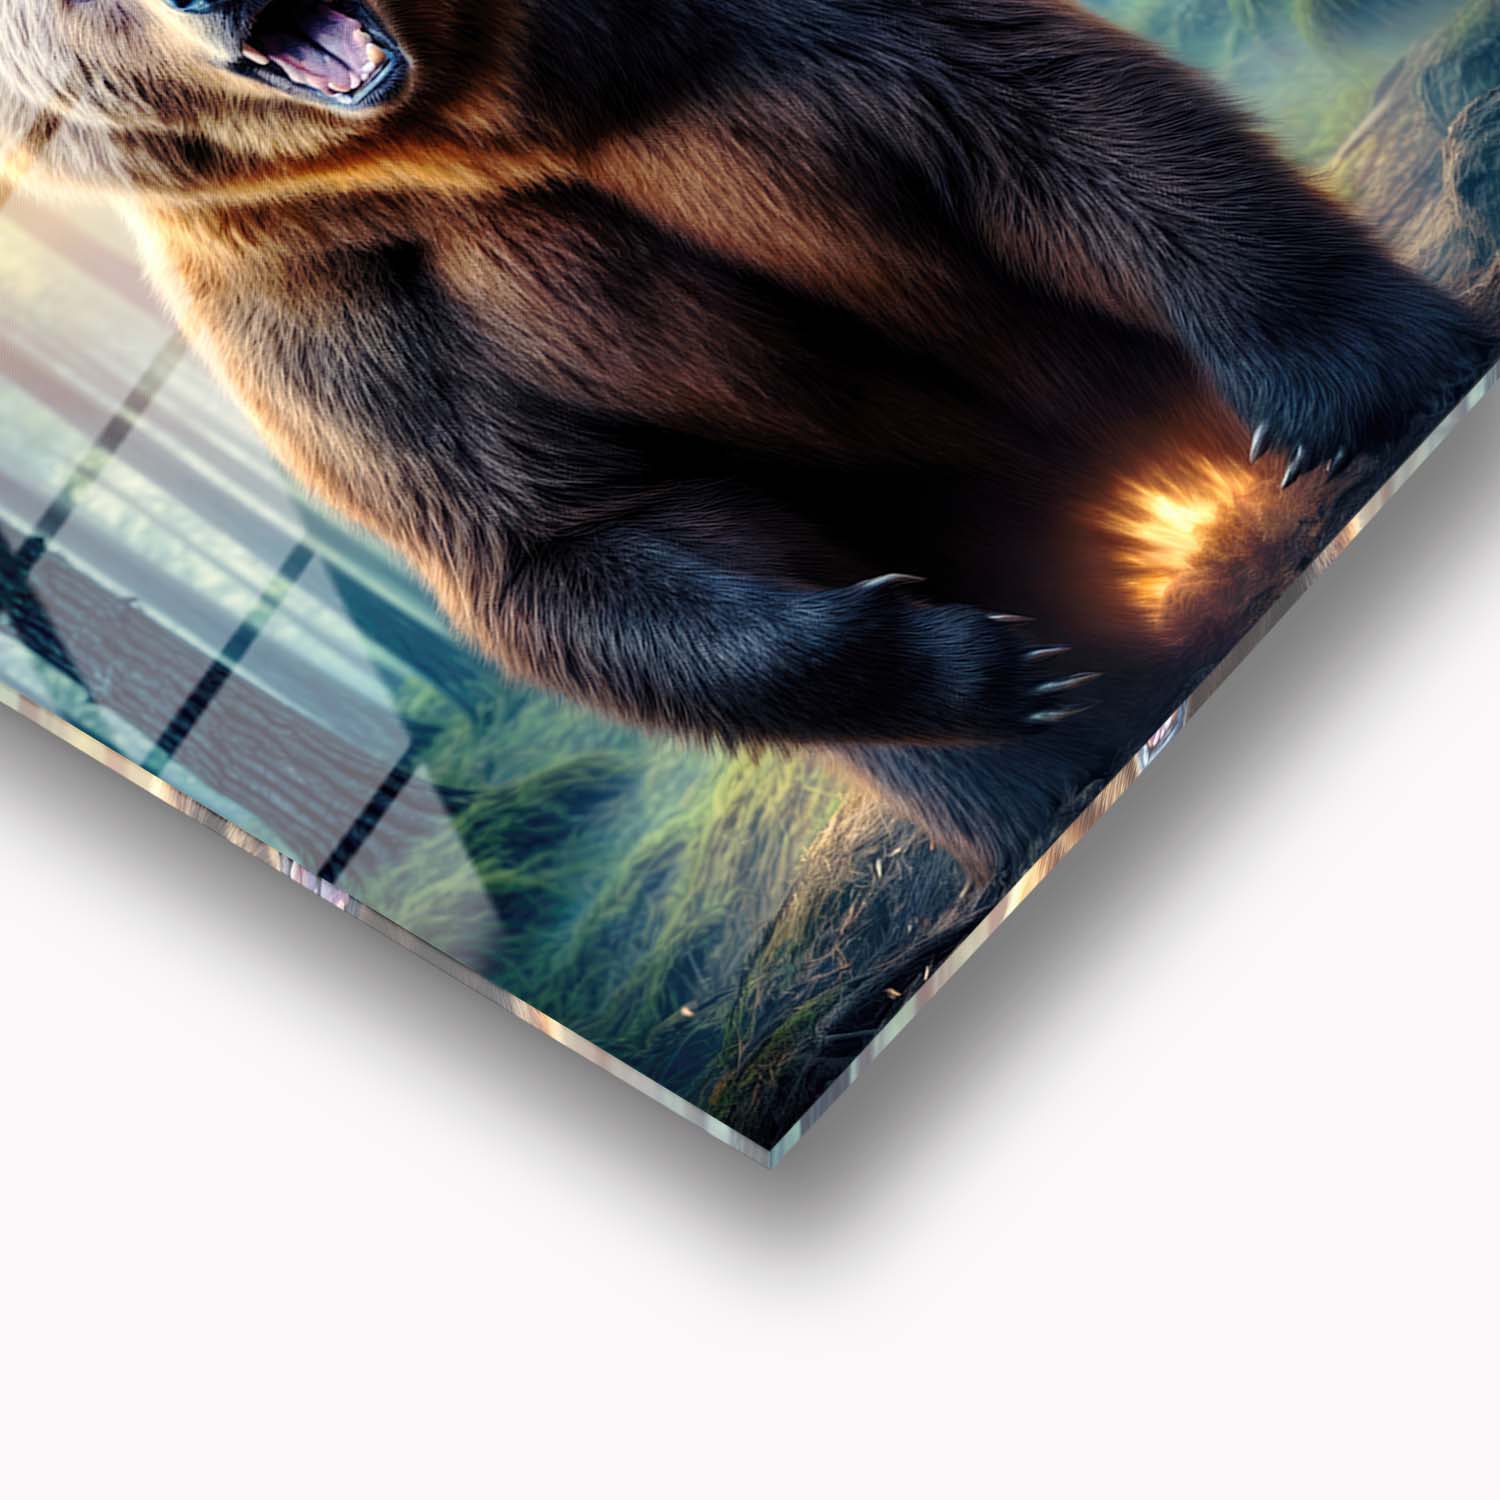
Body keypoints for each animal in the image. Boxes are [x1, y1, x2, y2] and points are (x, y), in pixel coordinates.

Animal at [1, 0, 1490, 877]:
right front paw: (983, 662)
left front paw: (1348, 385)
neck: (478, 123)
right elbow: (545, 534)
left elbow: (1026, 106)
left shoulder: (699, 46)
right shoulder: (321, 292)